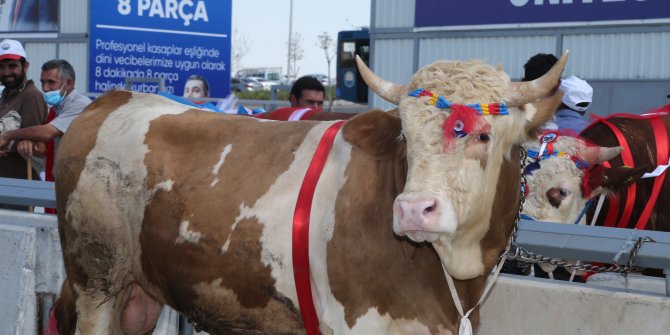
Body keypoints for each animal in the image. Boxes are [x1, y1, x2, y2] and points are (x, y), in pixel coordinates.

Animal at [52, 53, 568, 334]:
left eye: (484, 134)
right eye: (404, 135)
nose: (412, 210)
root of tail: (115, 98)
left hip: (139, 293)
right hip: (97, 280)